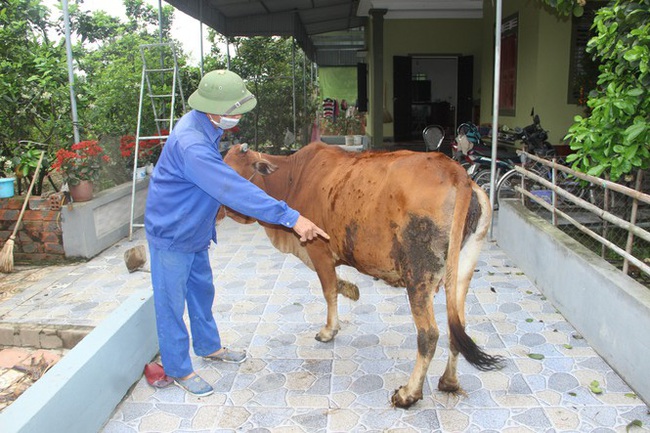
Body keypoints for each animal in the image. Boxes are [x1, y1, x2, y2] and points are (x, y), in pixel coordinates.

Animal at [223, 143, 502, 408]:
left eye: (234, 175)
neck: (294, 177)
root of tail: (457, 173)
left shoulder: (318, 249)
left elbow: (329, 290)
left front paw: (329, 330)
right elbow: (337, 285)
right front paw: (350, 290)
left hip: (418, 275)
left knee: (429, 334)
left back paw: (408, 394)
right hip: (462, 270)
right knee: (458, 327)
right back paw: (449, 381)